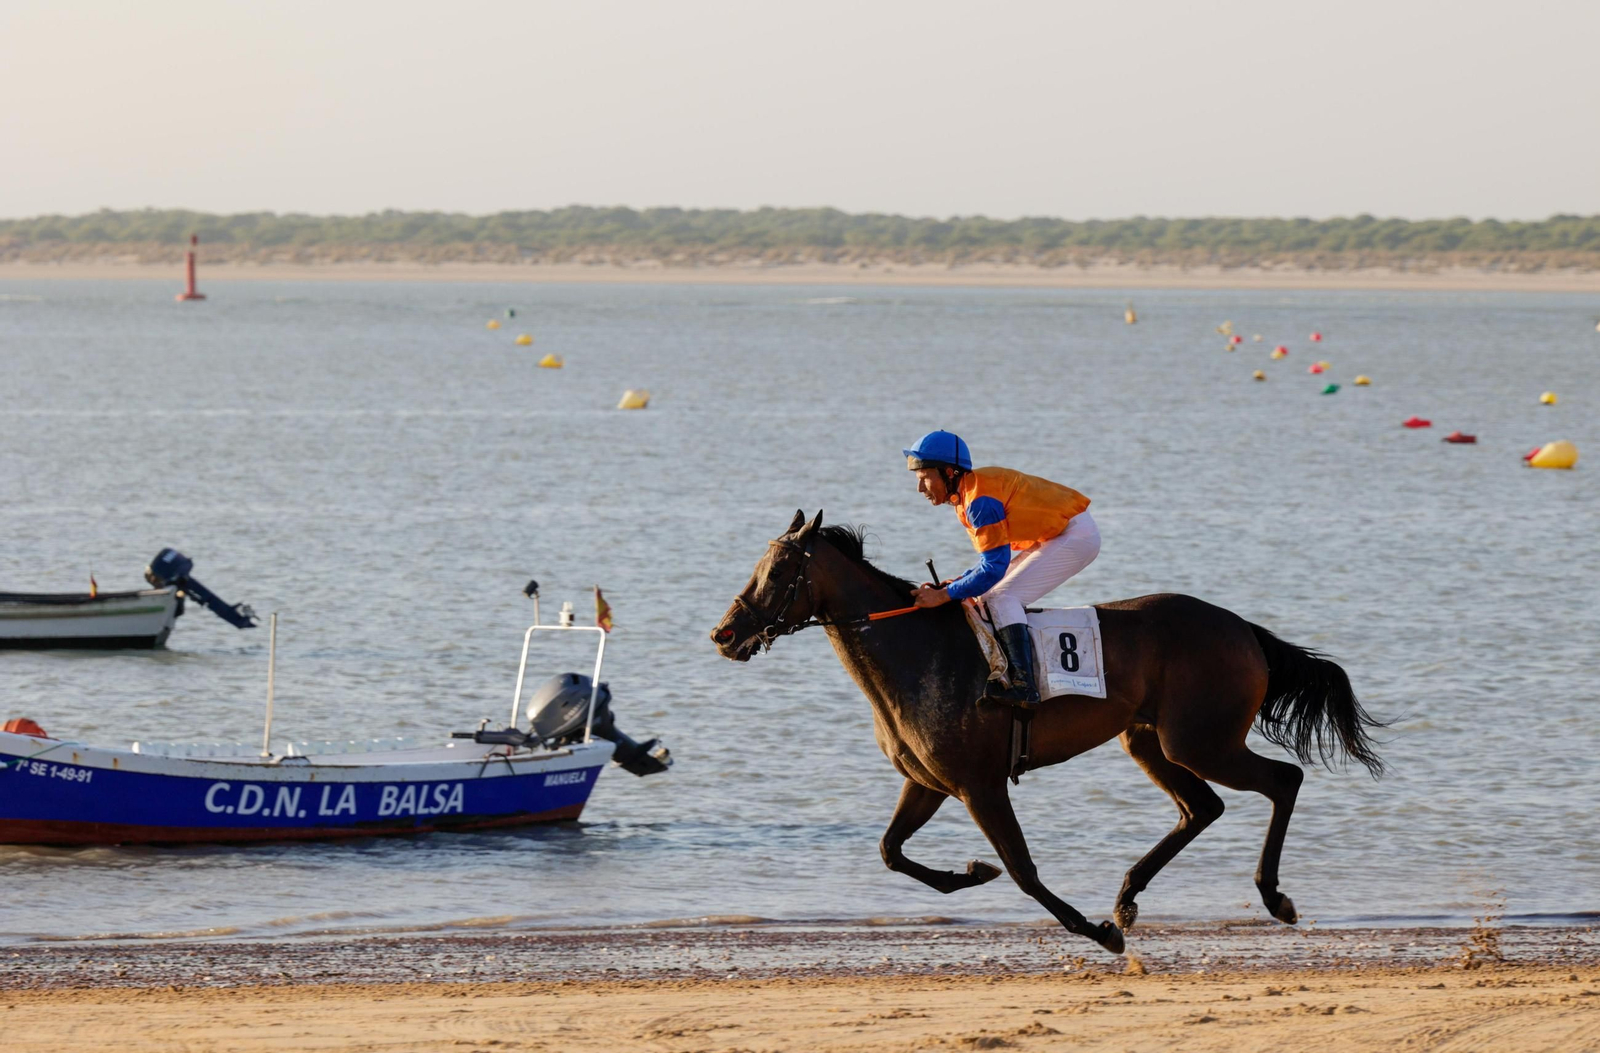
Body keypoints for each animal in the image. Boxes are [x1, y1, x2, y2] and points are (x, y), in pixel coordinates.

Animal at [710, 510, 1385, 955]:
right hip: (1149, 739)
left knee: (1282, 780)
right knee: (1202, 807)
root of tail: (1244, 629)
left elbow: (1023, 870)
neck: (914, 651)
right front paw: (971, 873)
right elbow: (890, 850)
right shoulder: (927, 782)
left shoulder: (979, 785)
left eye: (778, 571)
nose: (724, 633)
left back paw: (1271, 897)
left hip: (1202, 741)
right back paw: (1128, 897)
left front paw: (1095, 932)